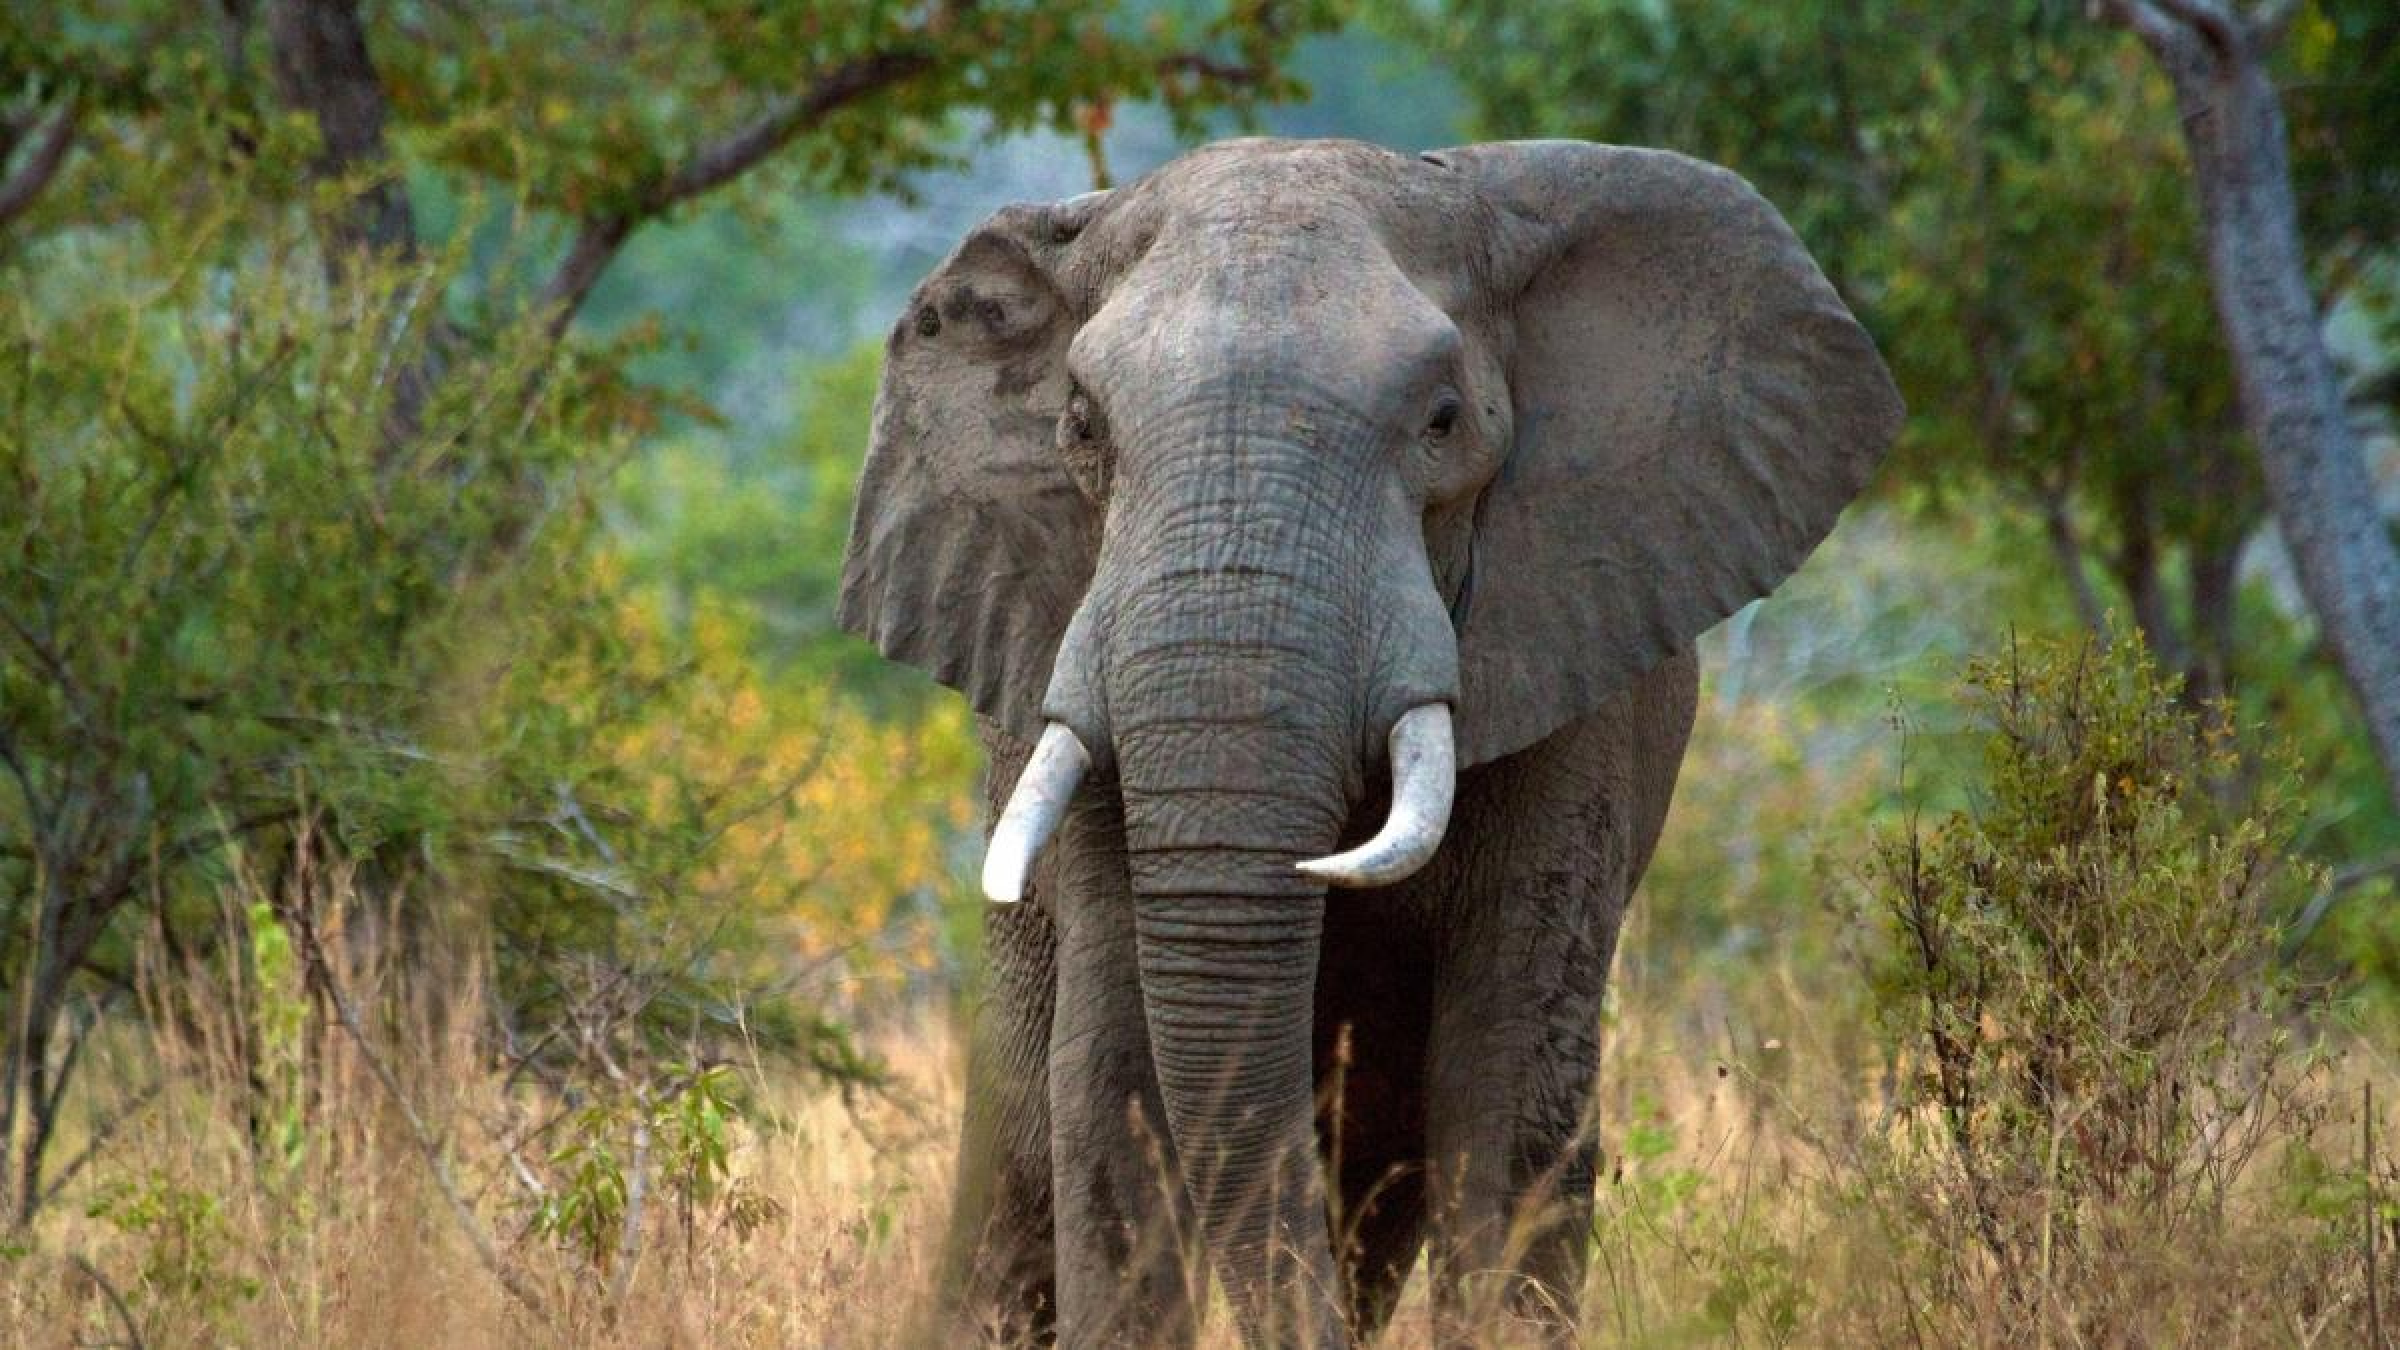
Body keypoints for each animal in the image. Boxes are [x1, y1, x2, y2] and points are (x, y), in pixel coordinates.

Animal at [838, 137, 1901, 1347]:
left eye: (1442, 421)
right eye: (1082, 426)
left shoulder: (1573, 666)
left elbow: (1510, 1092)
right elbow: (1111, 1083)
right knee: (1023, 1166)